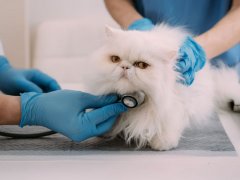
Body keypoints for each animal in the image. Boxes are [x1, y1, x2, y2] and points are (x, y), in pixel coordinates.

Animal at [80, 24, 240, 150]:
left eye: (141, 65)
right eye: (115, 59)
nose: (125, 66)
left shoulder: (173, 107)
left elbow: (167, 126)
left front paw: (162, 144)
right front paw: (104, 130)